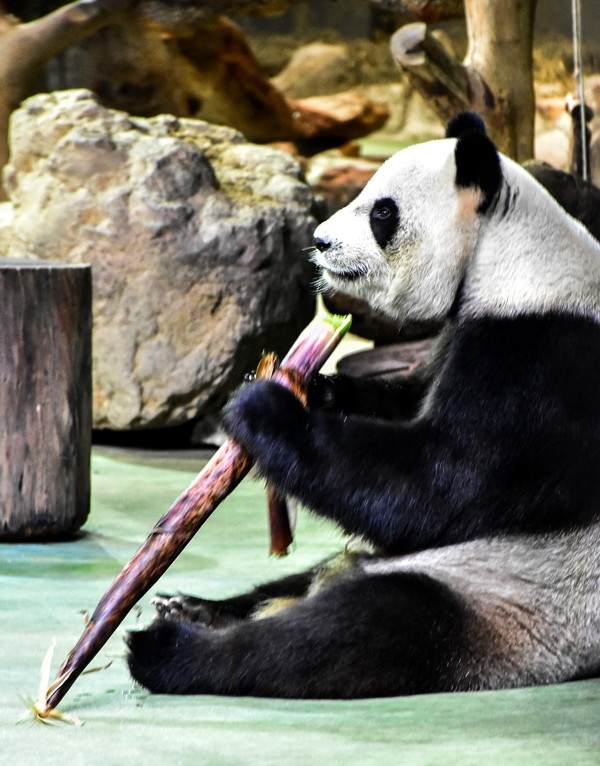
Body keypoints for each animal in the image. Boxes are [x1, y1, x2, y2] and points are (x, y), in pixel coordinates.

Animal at [125, 115, 600, 704]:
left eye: (382, 212)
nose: (320, 241)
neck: (512, 260)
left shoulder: (545, 357)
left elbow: (446, 481)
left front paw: (265, 408)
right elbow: (405, 403)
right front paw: (315, 387)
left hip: (508, 602)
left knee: (350, 632)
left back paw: (170, 647)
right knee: (298, 590)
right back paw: (196, 607)